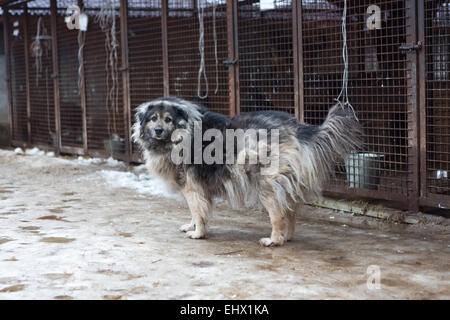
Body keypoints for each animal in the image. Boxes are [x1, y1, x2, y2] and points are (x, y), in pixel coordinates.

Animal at [132, 96, 360, 246]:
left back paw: (274, 240)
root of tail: (296, 126)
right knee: (290, 211)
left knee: (278, 214)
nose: (158, 130)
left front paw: (198, 233)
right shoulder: (196, 189)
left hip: (266, 184)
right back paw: (286, 236)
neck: (183, 132)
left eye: (168, 119)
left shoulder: (192, 187)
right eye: (153, 118)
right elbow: (195, 212)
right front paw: (191, 226)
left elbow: (198, 211)